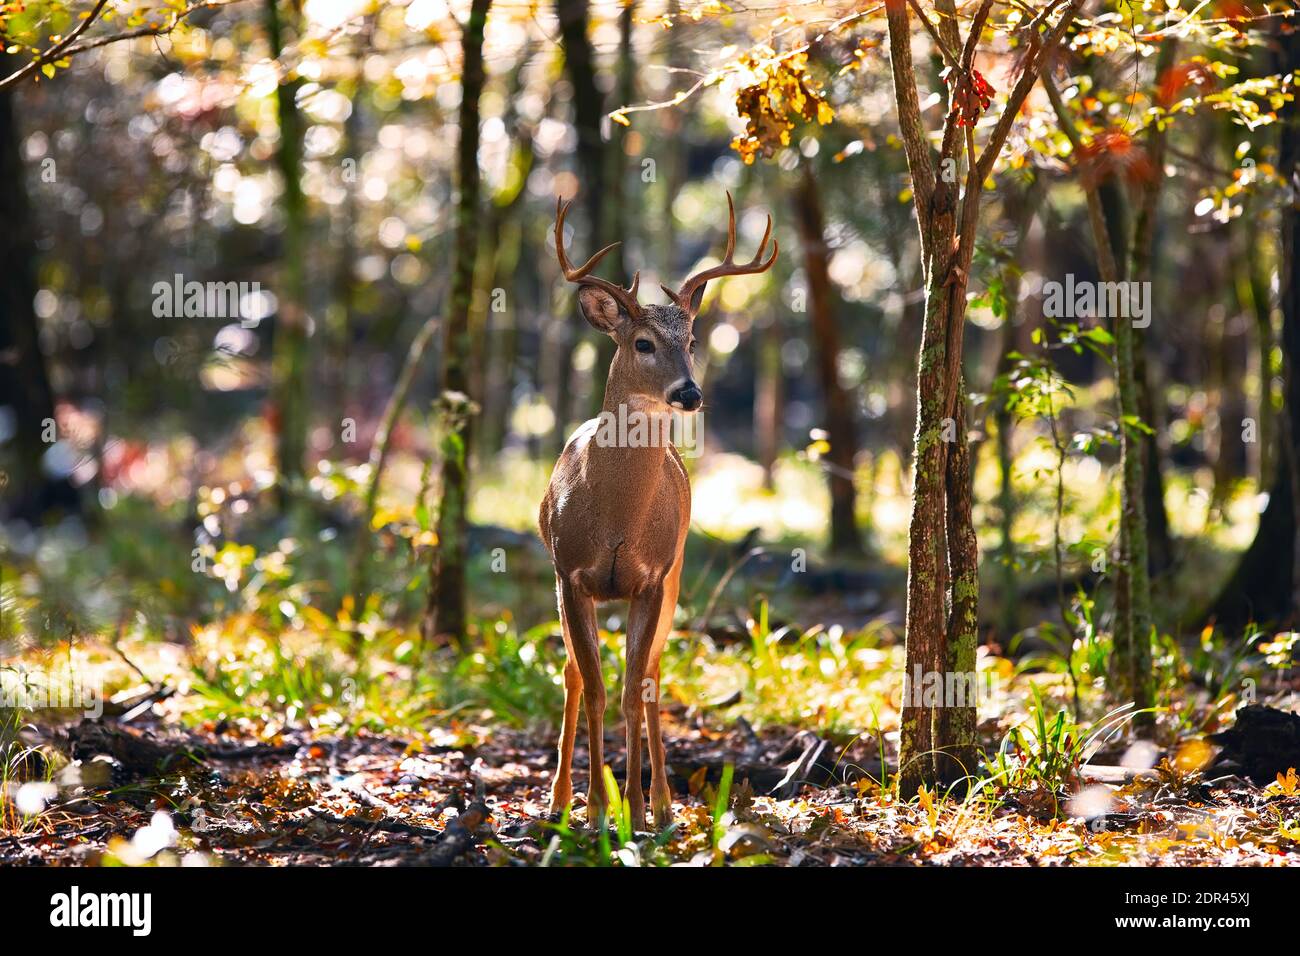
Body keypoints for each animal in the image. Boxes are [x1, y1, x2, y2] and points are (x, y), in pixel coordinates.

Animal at [540, 191, 774, 827]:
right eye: (642, 343)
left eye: (692, 342)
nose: (689, 393)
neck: (616, 518)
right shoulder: (569, 574)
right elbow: (595, 687)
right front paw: (597, 808)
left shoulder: (650, 576)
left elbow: (632, 688)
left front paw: (636, 808)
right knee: (572, 674)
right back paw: (559, 799)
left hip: (676, 575)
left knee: (652, 672)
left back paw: (665, 805)